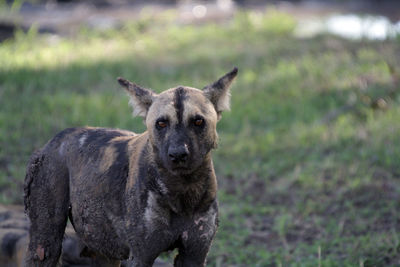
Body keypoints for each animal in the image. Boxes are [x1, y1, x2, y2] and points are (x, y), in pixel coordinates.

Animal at [24, 68, 238, 266]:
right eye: (161, 123)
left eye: (198, 121)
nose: (178, 154)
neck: (182, 191)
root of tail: (53, 141)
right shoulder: (140, 257)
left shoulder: (194, 255)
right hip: (45, 246)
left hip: (105, 251)